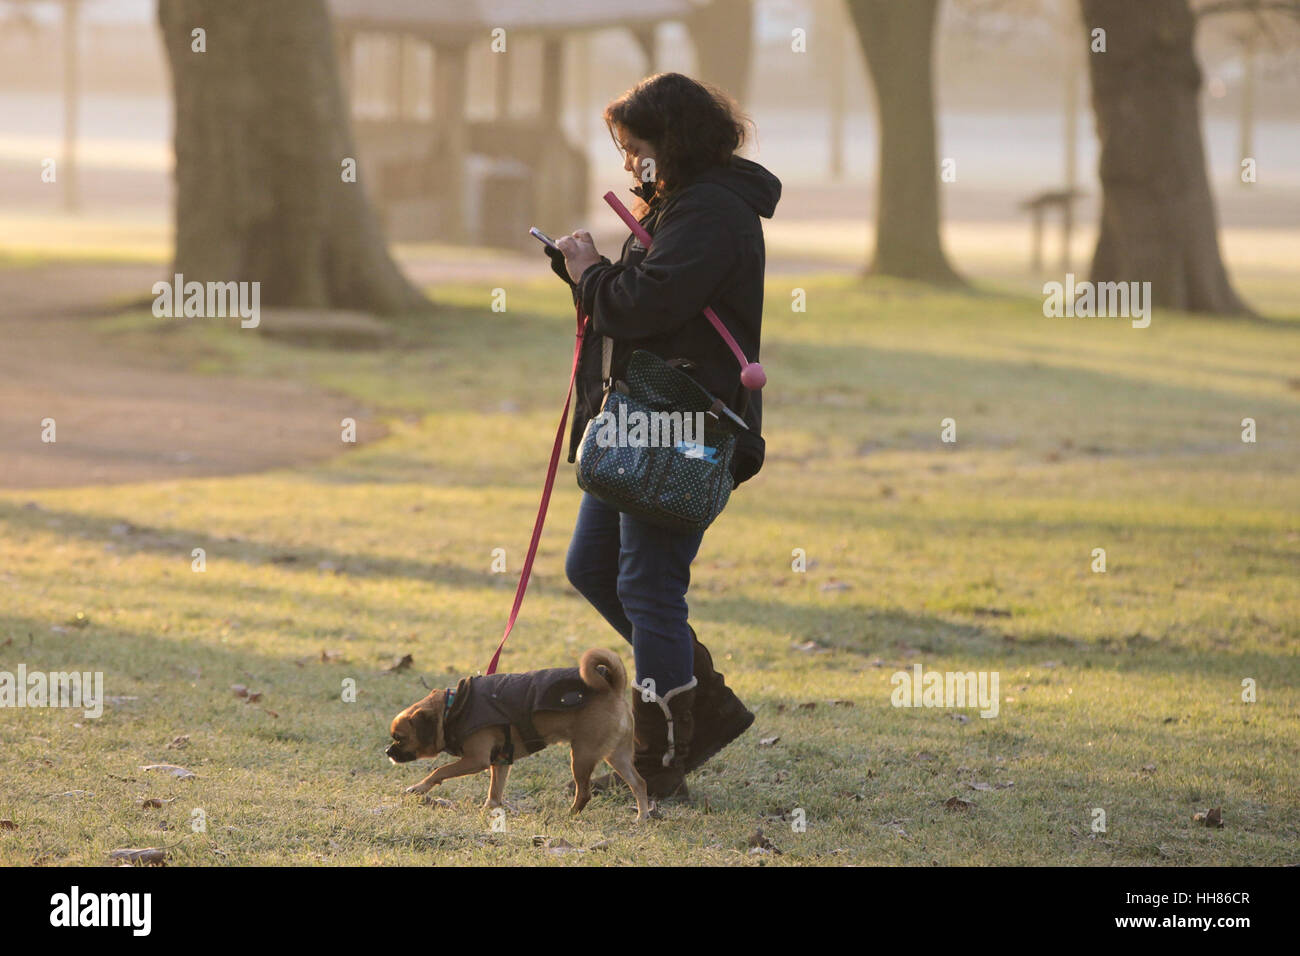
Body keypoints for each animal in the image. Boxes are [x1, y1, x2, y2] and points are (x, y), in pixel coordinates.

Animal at [384, 650, 650, 822]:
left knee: (584, 792)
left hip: (582, 756)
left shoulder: (476, 761)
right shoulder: (500, 761)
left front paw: (419, 788)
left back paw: (569, 816)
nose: (388, 751)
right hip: (617, 756)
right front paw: (489, 811)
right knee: (639, 783)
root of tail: (613, 688)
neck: (453, 707)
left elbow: (439, 771)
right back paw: (642, 817)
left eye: (399, 738)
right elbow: (495, 792)